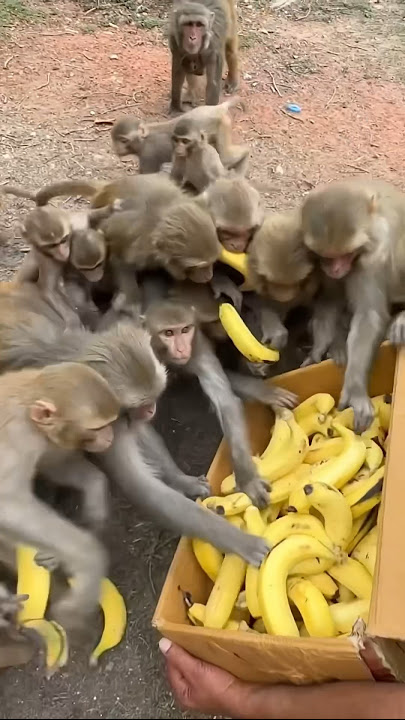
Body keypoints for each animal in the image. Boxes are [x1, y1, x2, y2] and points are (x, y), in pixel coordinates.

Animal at [0, 292, 269, 568]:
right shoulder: (109, 422)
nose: (150, 410)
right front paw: (241, 542)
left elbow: (219, 401)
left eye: (185, 331)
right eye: (169, 334)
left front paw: (195, 480)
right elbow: (142, 488)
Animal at [0, 361, 120, 626]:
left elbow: (54, 465)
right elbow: (8, 505)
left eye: (112, 422)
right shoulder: (18, 439)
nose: (110, 436)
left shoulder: (43, 442)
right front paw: (89, 561)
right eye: (97, 427)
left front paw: (96, 499)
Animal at [300, 177, 405, 431]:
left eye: (345, 254)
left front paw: (356, 390)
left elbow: (369, 315)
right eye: (328, 257)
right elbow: (331, 299)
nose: (336, 269)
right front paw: (320, 348)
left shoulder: (375, 257)